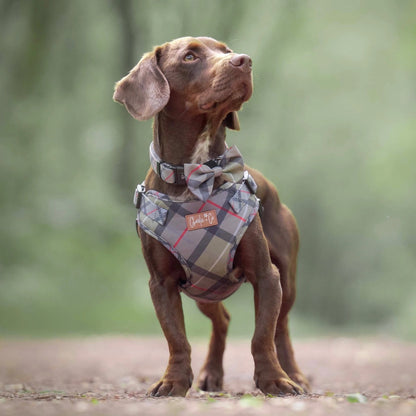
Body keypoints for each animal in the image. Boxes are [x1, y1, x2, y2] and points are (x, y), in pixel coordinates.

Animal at [114, 36, 308, 396]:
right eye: (190, 56)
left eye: (227, 51)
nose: (245, 60)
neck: (196, 175)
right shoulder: (161, 283)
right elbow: (177, 339)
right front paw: (174, 381)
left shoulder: (266, 275)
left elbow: (262, 336)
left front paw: (274, 379)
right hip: (205, 289)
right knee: (223, 321)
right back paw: (210, 374)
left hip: (286, 281)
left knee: (282, 326)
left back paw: (294, 373)